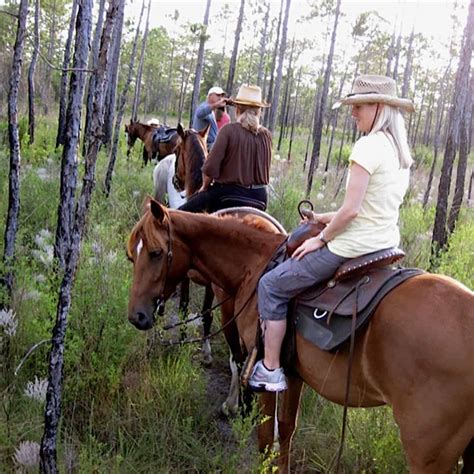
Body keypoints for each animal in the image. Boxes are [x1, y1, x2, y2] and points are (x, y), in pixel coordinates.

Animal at [128, 201, 474, 474]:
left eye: (156, 253)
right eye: (133, 256)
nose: (137, 316)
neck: (256, 263)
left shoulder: (264, 372)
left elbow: (265, 437)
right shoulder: (293, 374)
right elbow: (286, 433)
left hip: (428, 453)